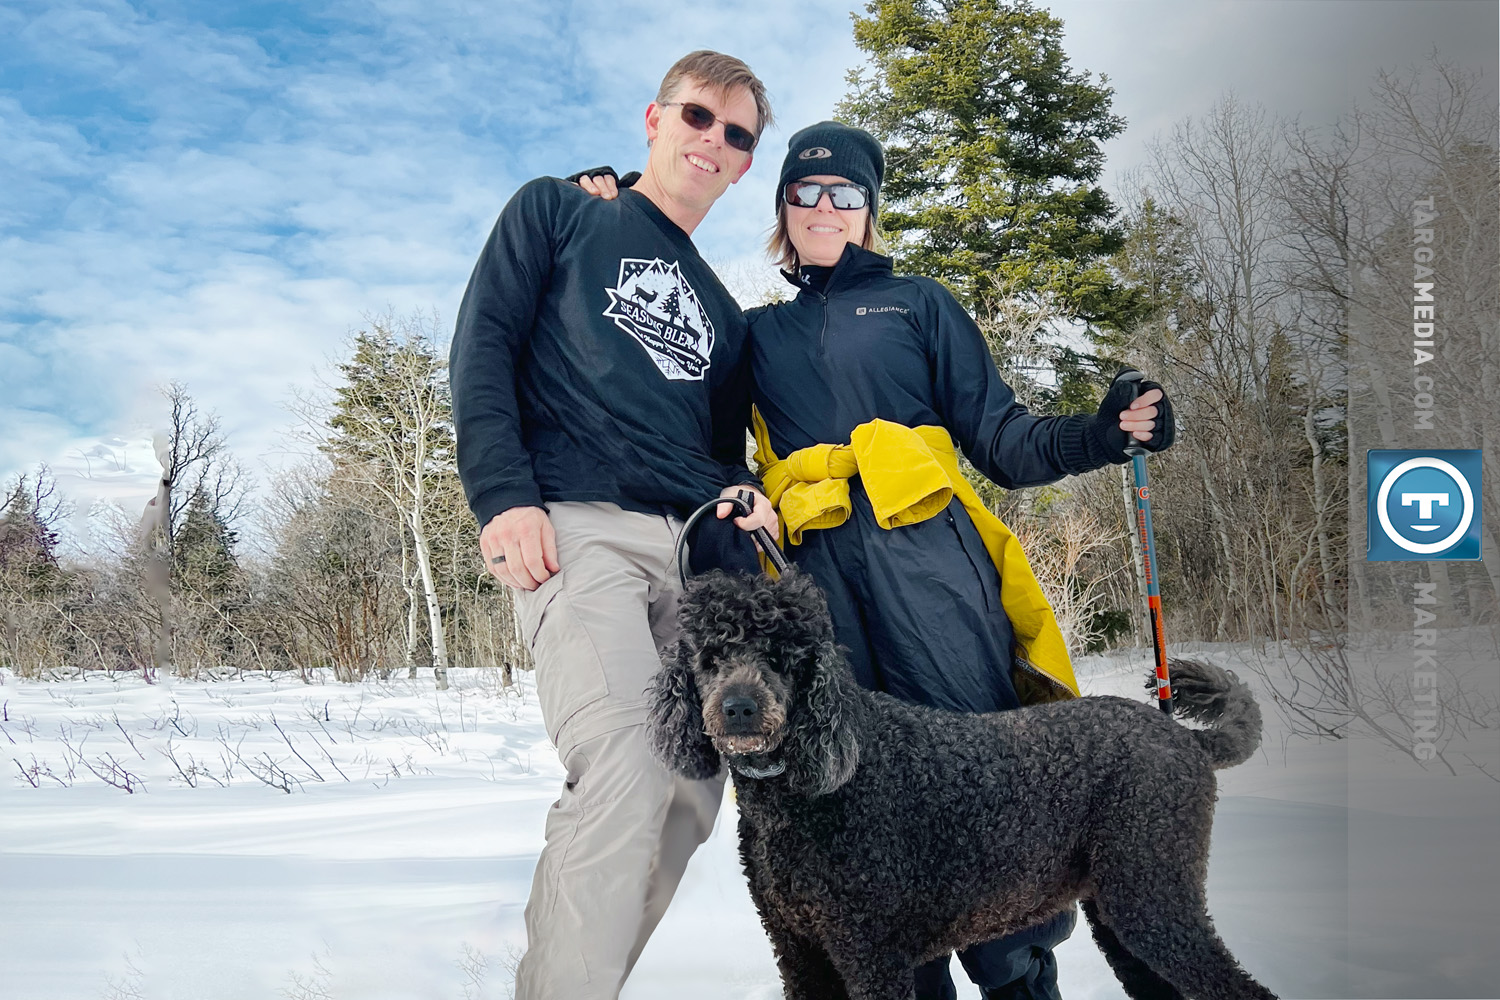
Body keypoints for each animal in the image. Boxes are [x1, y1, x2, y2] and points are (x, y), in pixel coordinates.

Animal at [648, 569, 1278, 1000]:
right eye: (710, 657)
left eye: (783, 657)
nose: (739, 709)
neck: (802, 794)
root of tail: (1184, 738)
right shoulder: (799, 949)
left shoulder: (868, 950)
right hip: (1119, 907)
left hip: (1153, 896)